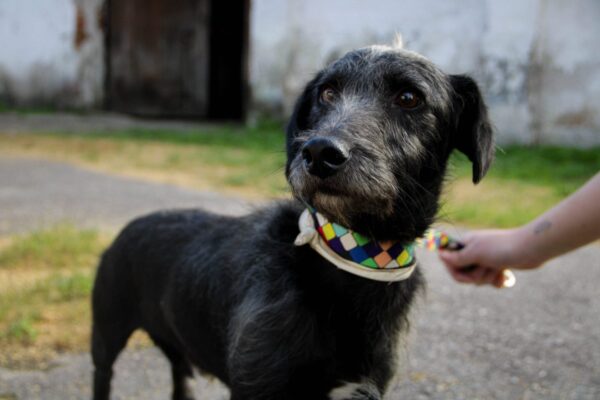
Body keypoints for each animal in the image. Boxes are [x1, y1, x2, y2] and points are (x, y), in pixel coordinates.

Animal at [91, 43, 494, 400]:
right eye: (327, 92)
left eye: (409, 97)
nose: (318, 152)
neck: (351, 261)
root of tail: (132, 225)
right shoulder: (257, 382)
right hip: (105, 336)